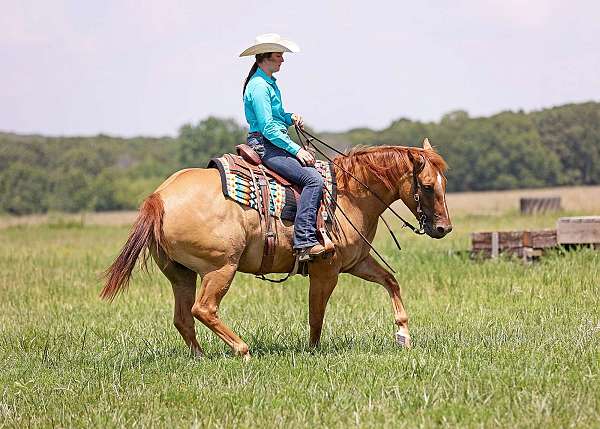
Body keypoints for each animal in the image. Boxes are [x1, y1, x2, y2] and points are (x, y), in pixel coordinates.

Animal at [102, 138, 450, 358]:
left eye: (444, 184)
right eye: (427, 186)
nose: (444, 228)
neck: (348, 194)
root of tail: (159, 196)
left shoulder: (356, 262)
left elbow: (391, 282)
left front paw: (403, 336)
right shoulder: (327, 269)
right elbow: (316, 312)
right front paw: (313, 350)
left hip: (180, 274)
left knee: (183, 318)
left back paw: (200, 357)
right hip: (220, 268)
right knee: (203, 309)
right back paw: (242, 351)